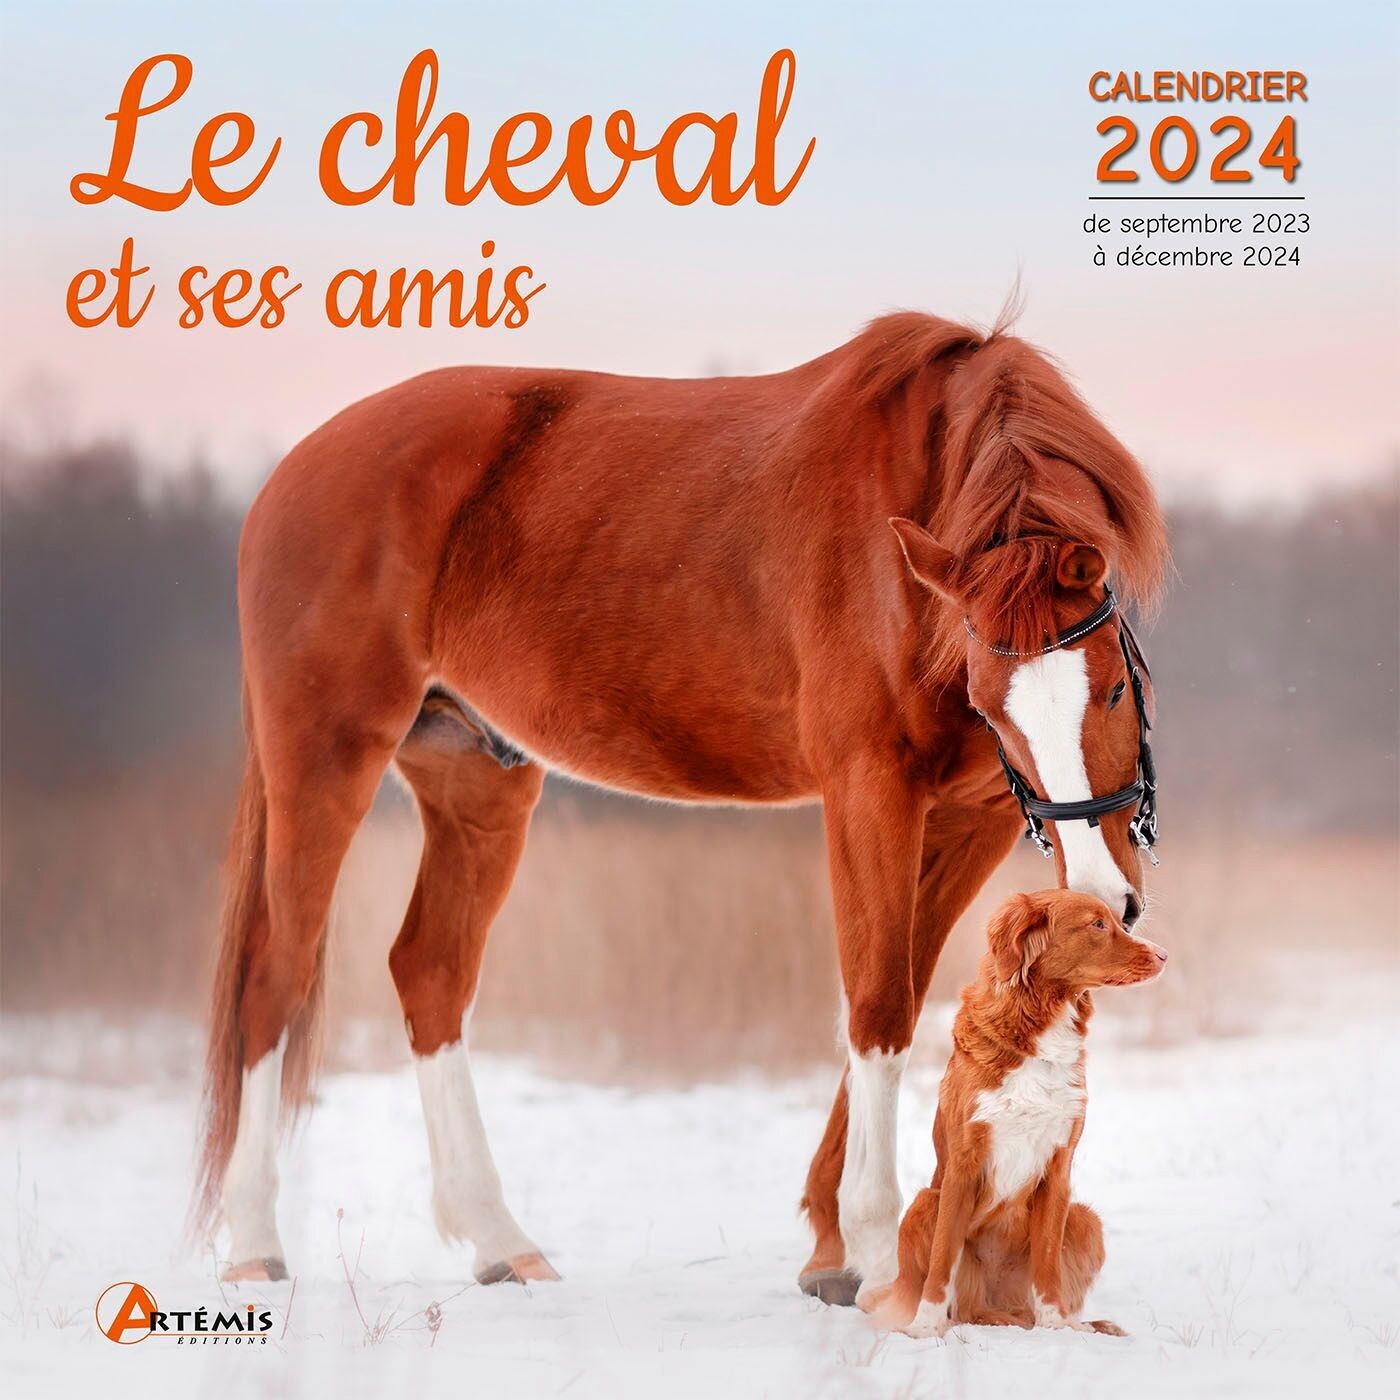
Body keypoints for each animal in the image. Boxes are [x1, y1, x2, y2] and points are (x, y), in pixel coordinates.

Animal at [193, 309, 1167, 1303]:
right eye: (992, 704)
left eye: (1112, 687)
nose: (1104, 898)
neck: (916, 490)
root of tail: (292, 474)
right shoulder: (869, 788)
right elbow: (877, 1001)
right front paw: (867, 1245)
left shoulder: (972, 815)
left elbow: (904, 983)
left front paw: (830, 1244)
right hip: (325, 756)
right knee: (274, 971)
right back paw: (256, 1243)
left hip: (477, 780)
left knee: (430, 970)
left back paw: (502, 1241)